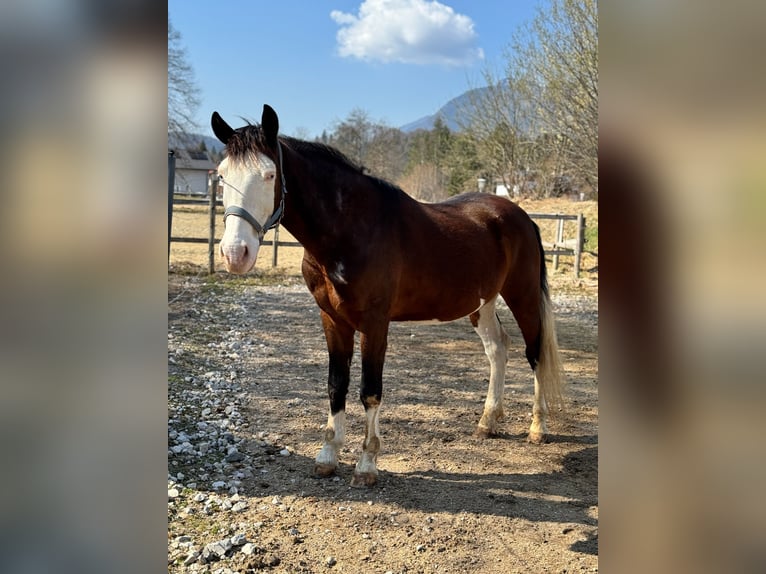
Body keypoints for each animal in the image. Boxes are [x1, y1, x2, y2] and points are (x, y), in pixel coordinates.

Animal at [211, 105, 564, 487]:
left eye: (269, 174)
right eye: (221, 175)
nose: (235, 254)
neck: (351, 230)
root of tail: (521, 216)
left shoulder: (375, 323)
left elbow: (369, 390)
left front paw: (367, 464)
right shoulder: (332, 319)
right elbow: (336, 385)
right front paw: (327, 456)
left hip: (522, 296)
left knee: (535, 353)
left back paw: (537, 428)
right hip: (482, 303)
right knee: (498, 349)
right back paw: (487, 422)